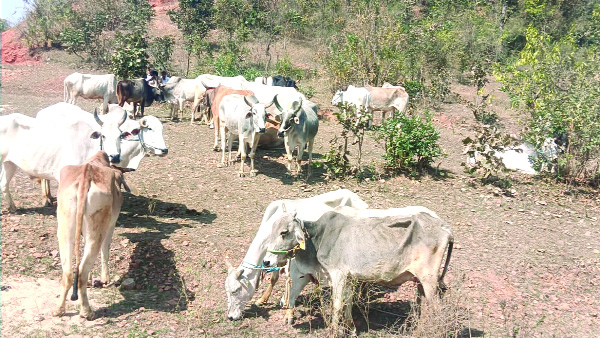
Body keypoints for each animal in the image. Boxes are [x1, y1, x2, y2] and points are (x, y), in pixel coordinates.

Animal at [53, 151, 131, 320]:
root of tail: (85, 175)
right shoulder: (111, 225)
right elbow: (106, 250)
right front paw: (105, 278)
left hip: (65, 229)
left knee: (69, 271)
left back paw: (59, 310)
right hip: (97, 231)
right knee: (82, 270)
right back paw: (87, 312)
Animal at [224, 189, 368, 320]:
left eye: (235, 290)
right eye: (227, 291)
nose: (230, 316)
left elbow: (290, 279)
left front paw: (286, 305)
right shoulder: (274, 259)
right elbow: (274, 278)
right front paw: (263, 299)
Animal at [262, 207, 454, 334]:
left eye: (284, 232)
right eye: (271, 230)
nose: (266, 261)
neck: (319, 237)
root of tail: (444, 227)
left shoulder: (338, 274)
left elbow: (337, 304)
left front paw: (334, 331)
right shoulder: (349, 277)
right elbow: (347, 302)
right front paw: (350, 328)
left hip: (429, 279)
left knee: (436, 307)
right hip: (421, 282)